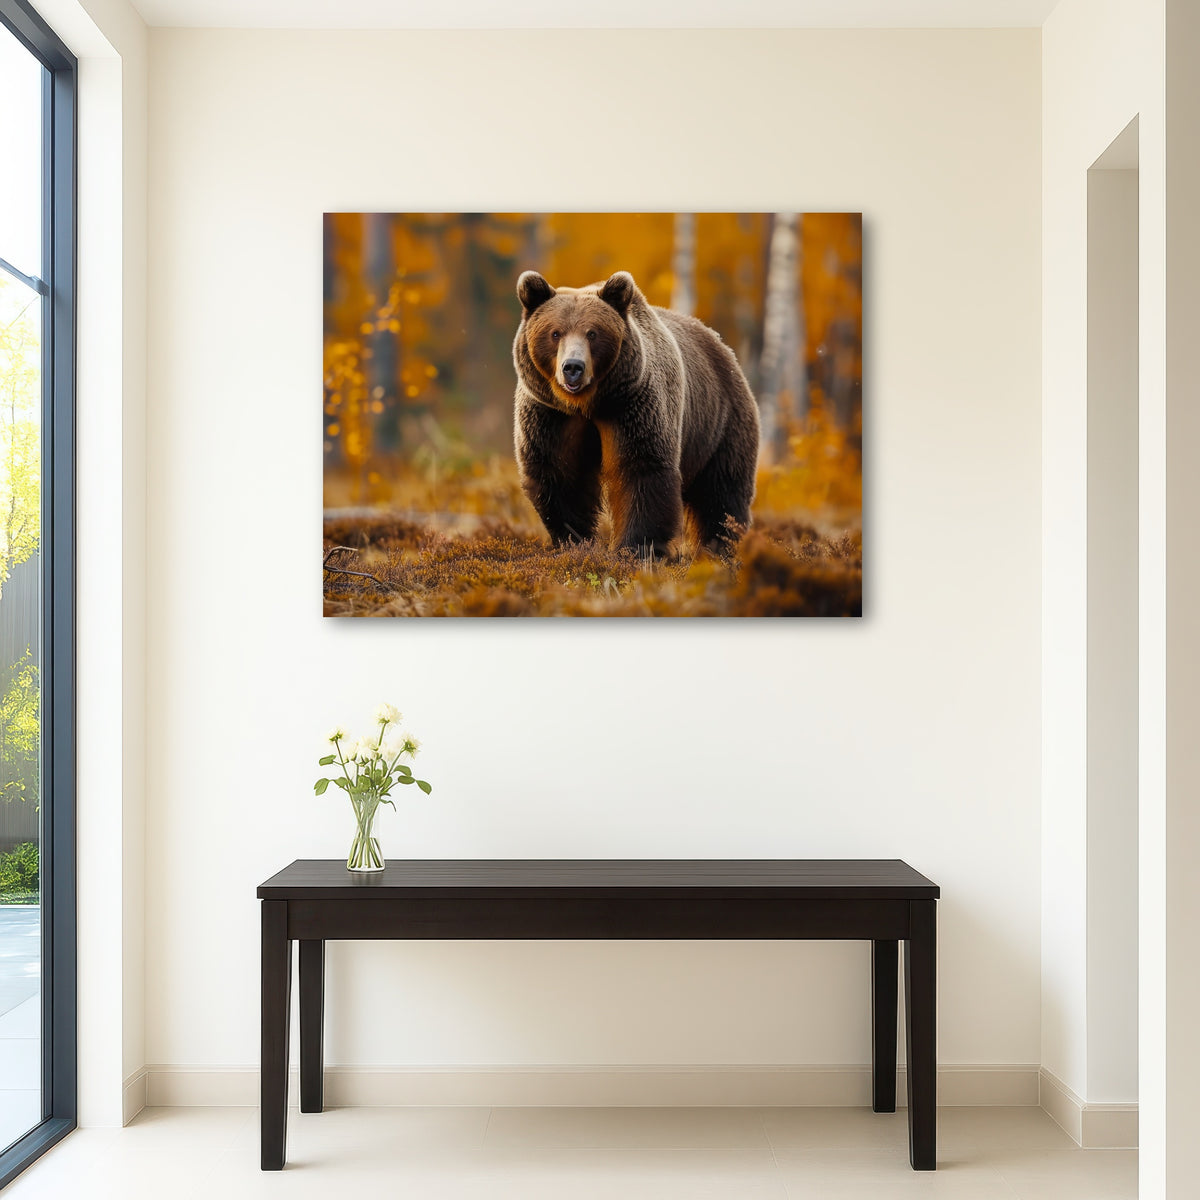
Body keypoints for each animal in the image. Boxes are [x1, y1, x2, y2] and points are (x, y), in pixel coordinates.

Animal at [512, 269, 761, 557]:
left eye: (592, 333)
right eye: (555, 333)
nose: (573, 367)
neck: (588, 403)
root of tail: (722, 346)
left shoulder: (632, 405)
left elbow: (641, 469)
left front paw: (635, 547)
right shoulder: (551, 416)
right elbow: (560, 474)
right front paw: (574, 540)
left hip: (721, 422)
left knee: (722, 491)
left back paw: (720, 545)